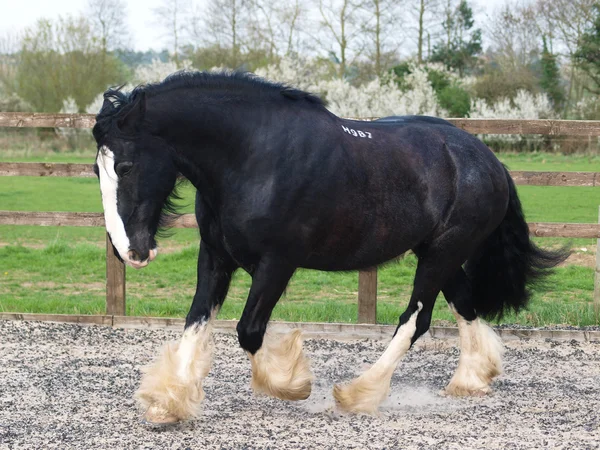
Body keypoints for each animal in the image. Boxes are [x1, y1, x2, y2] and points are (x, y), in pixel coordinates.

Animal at [91, 70, 564, 426]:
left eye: (126, 166)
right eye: (96, 171)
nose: (130, 252)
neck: (251, 156)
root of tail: (489, 160)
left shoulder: (277, 262)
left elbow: (249, 331)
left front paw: (293, 383)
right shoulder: (215, 258)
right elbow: (195, 323)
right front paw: (169, 401)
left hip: (441, 255)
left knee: (415, 321)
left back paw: (357, 393)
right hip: (436, 252)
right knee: (464, 303)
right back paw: (472, 379)